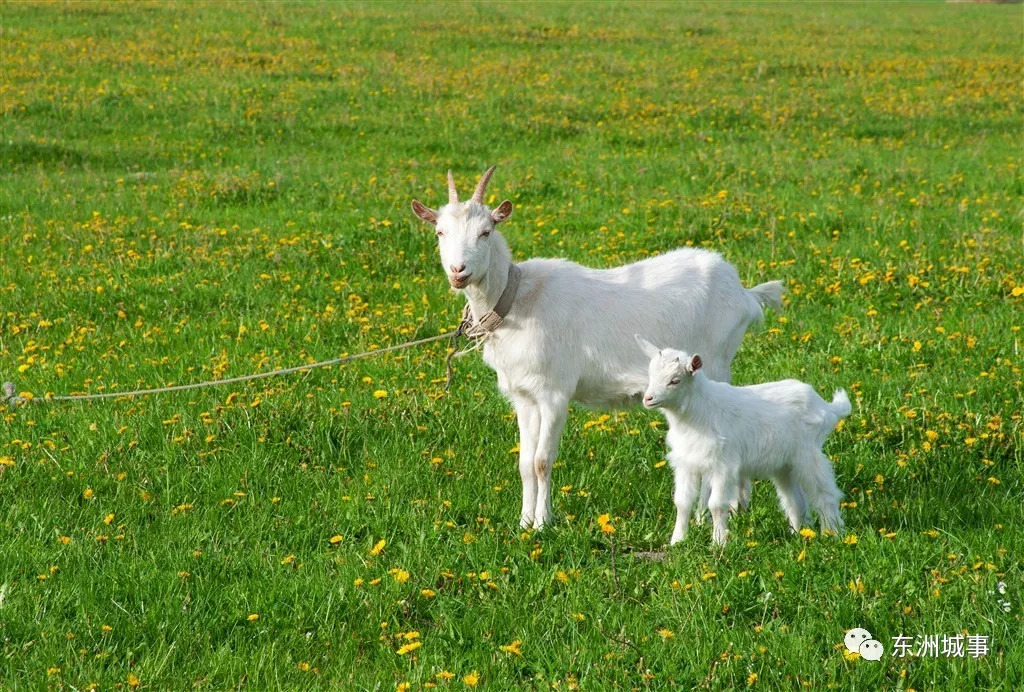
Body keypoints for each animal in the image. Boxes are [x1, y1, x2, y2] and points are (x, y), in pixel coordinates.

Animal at [407, 164, 782, 528]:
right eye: (440, 232)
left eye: (486, 232)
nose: (459, 271)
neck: (517, 302)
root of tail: (743, 292)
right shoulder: (524, 396)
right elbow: (526, 463)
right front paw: (524, 522)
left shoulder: (555, 392)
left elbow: (543, 461)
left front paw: (543, 523)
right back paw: (736, 506)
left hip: (715, 362)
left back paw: (712, 512)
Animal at [638, 335, 847, 544]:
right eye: (650, 375)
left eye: (675, 380)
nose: (648, 399)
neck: (698, 412)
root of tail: (826, 407)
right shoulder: (686, 463)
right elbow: (682, 503)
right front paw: (677, 541)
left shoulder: (723, 465)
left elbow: (716, 505)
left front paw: (719, 543)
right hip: (784, 464)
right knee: (794, 499)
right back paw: (797, 534)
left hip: (808, 453)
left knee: (824, 493)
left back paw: (832, 533)